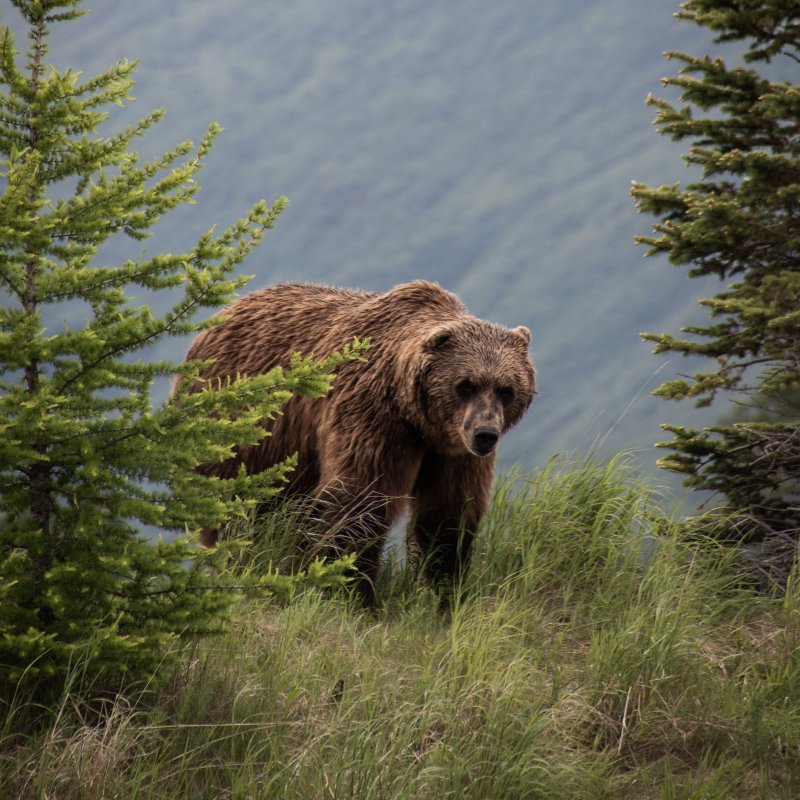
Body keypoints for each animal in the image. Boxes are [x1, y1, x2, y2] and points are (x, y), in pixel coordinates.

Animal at [178, 282, 536, 608]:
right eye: (466, 385)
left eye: (506, 389)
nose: (485, 434)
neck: (418, 419)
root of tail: (221, 315)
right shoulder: (373, 417)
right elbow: (358, 500)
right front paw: (353, 593)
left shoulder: (452, 452)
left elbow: (448, 513)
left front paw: (444, 592)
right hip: (241, 434)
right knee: (238, 511)